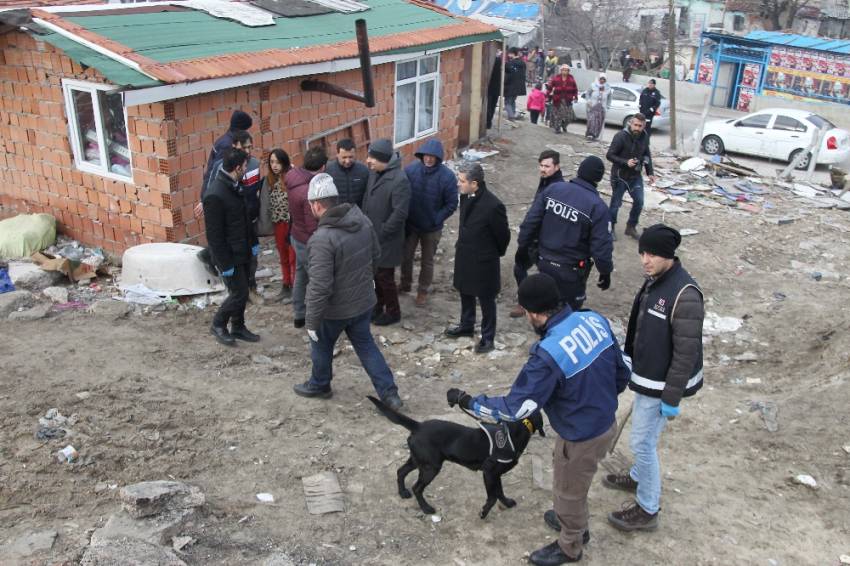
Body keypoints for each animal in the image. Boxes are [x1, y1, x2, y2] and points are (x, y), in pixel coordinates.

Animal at [366, 398, 544, 520]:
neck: (516, 432)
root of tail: (419, 426)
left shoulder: (496, 475)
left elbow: (500, 492)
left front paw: (506, 503)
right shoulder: (489, 473)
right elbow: (493, 497)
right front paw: (484, 512)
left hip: (419, 461)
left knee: (400, 471)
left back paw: (402, 492)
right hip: (431, 467)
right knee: (417, 487)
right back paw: (426, 509)